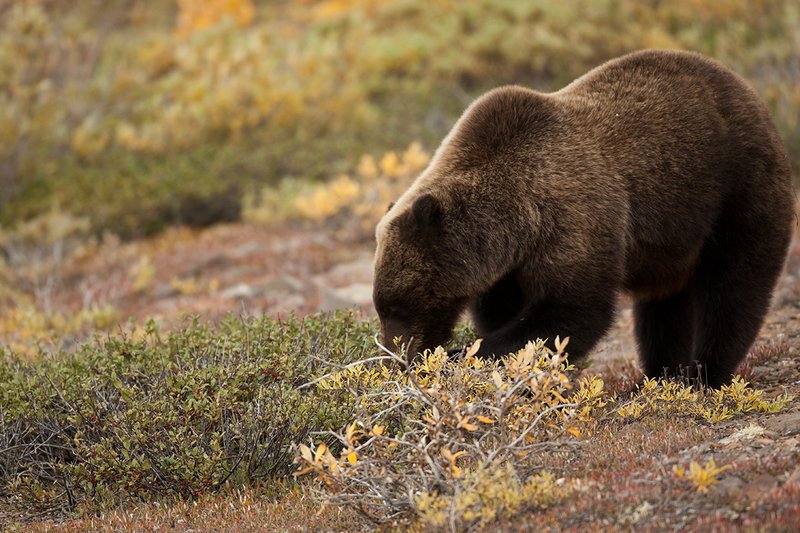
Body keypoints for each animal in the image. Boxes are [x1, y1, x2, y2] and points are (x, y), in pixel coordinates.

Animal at [372, 49, 795, 388]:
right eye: (383, 306)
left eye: (397, 306)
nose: (396, 357)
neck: (516, 222)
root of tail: (749, 92)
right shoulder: (506, 268)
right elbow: (508, 312)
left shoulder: (573, 220)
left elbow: (570, 314)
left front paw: (467, 356)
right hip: (672, 244)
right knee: (663, 308)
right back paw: (660, 375)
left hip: (736, 190)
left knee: (735, 286)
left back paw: (706, 375)